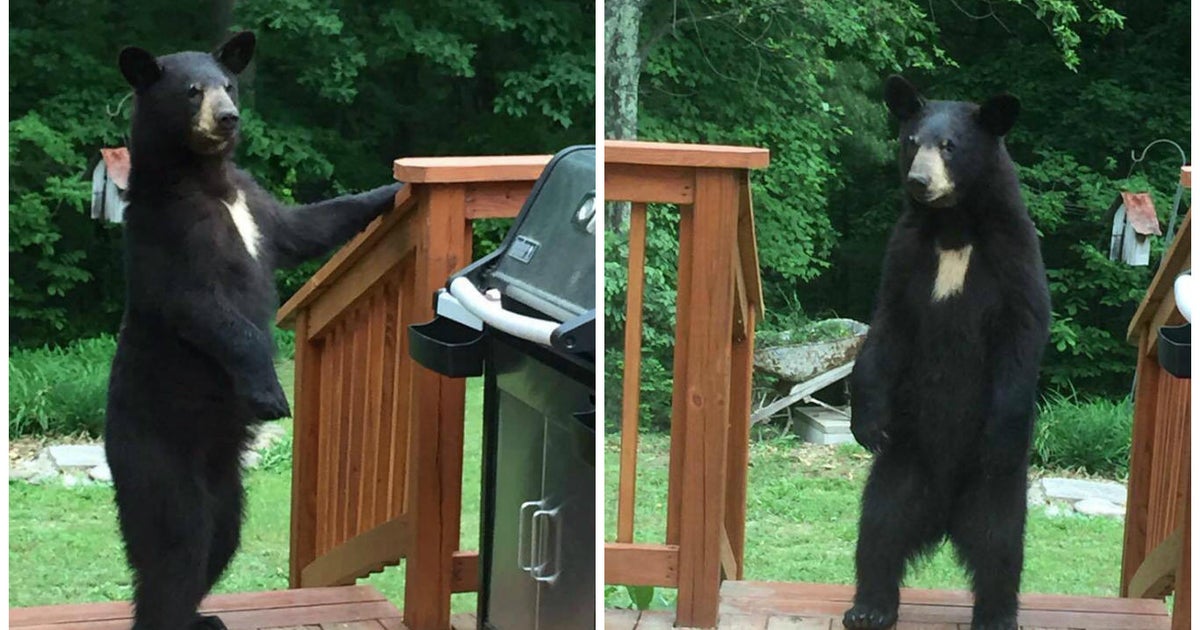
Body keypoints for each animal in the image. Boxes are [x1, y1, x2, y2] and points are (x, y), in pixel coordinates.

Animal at [105, 31, 401, 630]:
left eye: (229, 83)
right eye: (192, 90)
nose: (228, 118)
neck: (206, 182)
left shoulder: (256, 207)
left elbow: (307, 224)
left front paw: (390, 189)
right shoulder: (167, 235)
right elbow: (205, 310)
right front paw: (271, 394)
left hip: (225, 481)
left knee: (221, 536)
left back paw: (202, 615)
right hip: (153, 452)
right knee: (175, 545)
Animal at [842, 76, 1051, 630]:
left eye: (951, 145)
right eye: (912, 141)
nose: (919, 181)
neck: (953, 227)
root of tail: (943, 514)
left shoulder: (1015, 254)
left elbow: (1023, 332)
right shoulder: (905, 255)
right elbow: (886, 326)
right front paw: (865, 422)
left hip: (994, 485)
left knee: (999, 542)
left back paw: (996, 614)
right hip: (902, 460)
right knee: (880, 526)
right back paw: (869, 607)